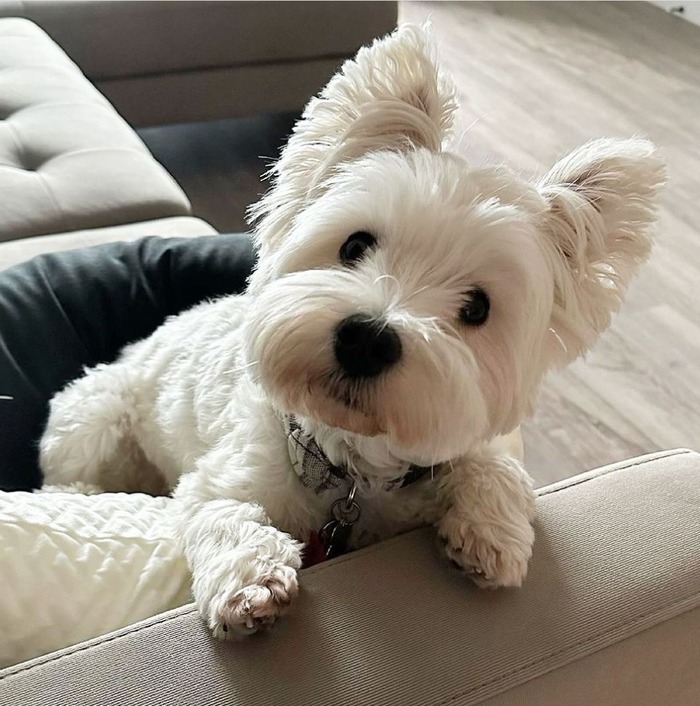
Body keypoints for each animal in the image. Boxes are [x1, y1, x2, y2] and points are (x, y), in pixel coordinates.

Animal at [41, 24, 664, 636]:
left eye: (478, 308)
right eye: (355, 244)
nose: (366, 339)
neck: (351, 470)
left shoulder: (461, 438)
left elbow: (494, 462)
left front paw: (493, 535)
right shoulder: (218, 476)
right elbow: (220, 511)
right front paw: (250, 578)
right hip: (95, 415)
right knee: (67, 475)